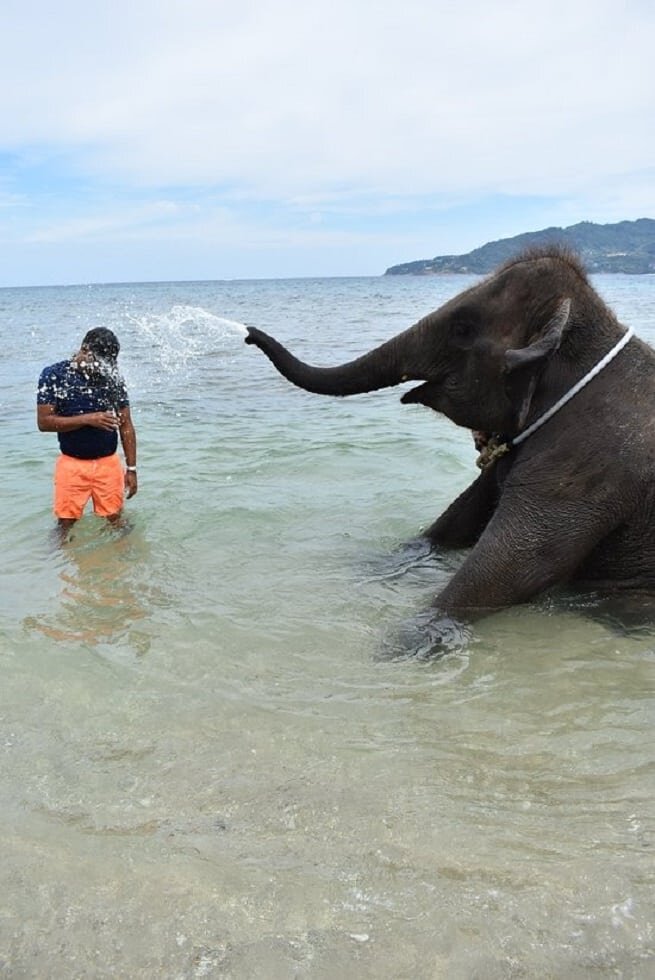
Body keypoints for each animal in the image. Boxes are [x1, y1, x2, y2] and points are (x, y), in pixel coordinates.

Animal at [245, 249, 655, 652]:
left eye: (462, 330)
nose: (248, 333)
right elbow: (465, 513)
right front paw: (377, 566)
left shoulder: (588, 464)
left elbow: (520, 562)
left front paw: (411, 640)